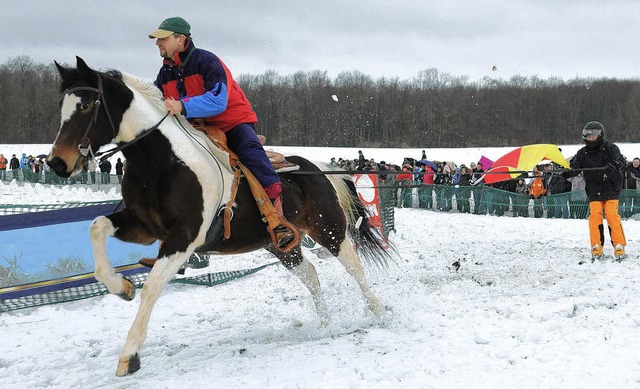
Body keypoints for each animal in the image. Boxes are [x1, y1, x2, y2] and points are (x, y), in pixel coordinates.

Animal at [47, 57, 392, 376]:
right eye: (62, 105)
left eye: (86, 104)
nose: (57, 163)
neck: (163, 162)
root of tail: (319, 168)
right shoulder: (142, 226)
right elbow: (96, 227)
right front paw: (121, 286)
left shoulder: (182, 239)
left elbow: (153, 286)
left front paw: (129, 355)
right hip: (281, 245)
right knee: (310, 273)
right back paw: (324, 322)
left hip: (330, 231)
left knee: (354, 267)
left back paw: (378, 311)